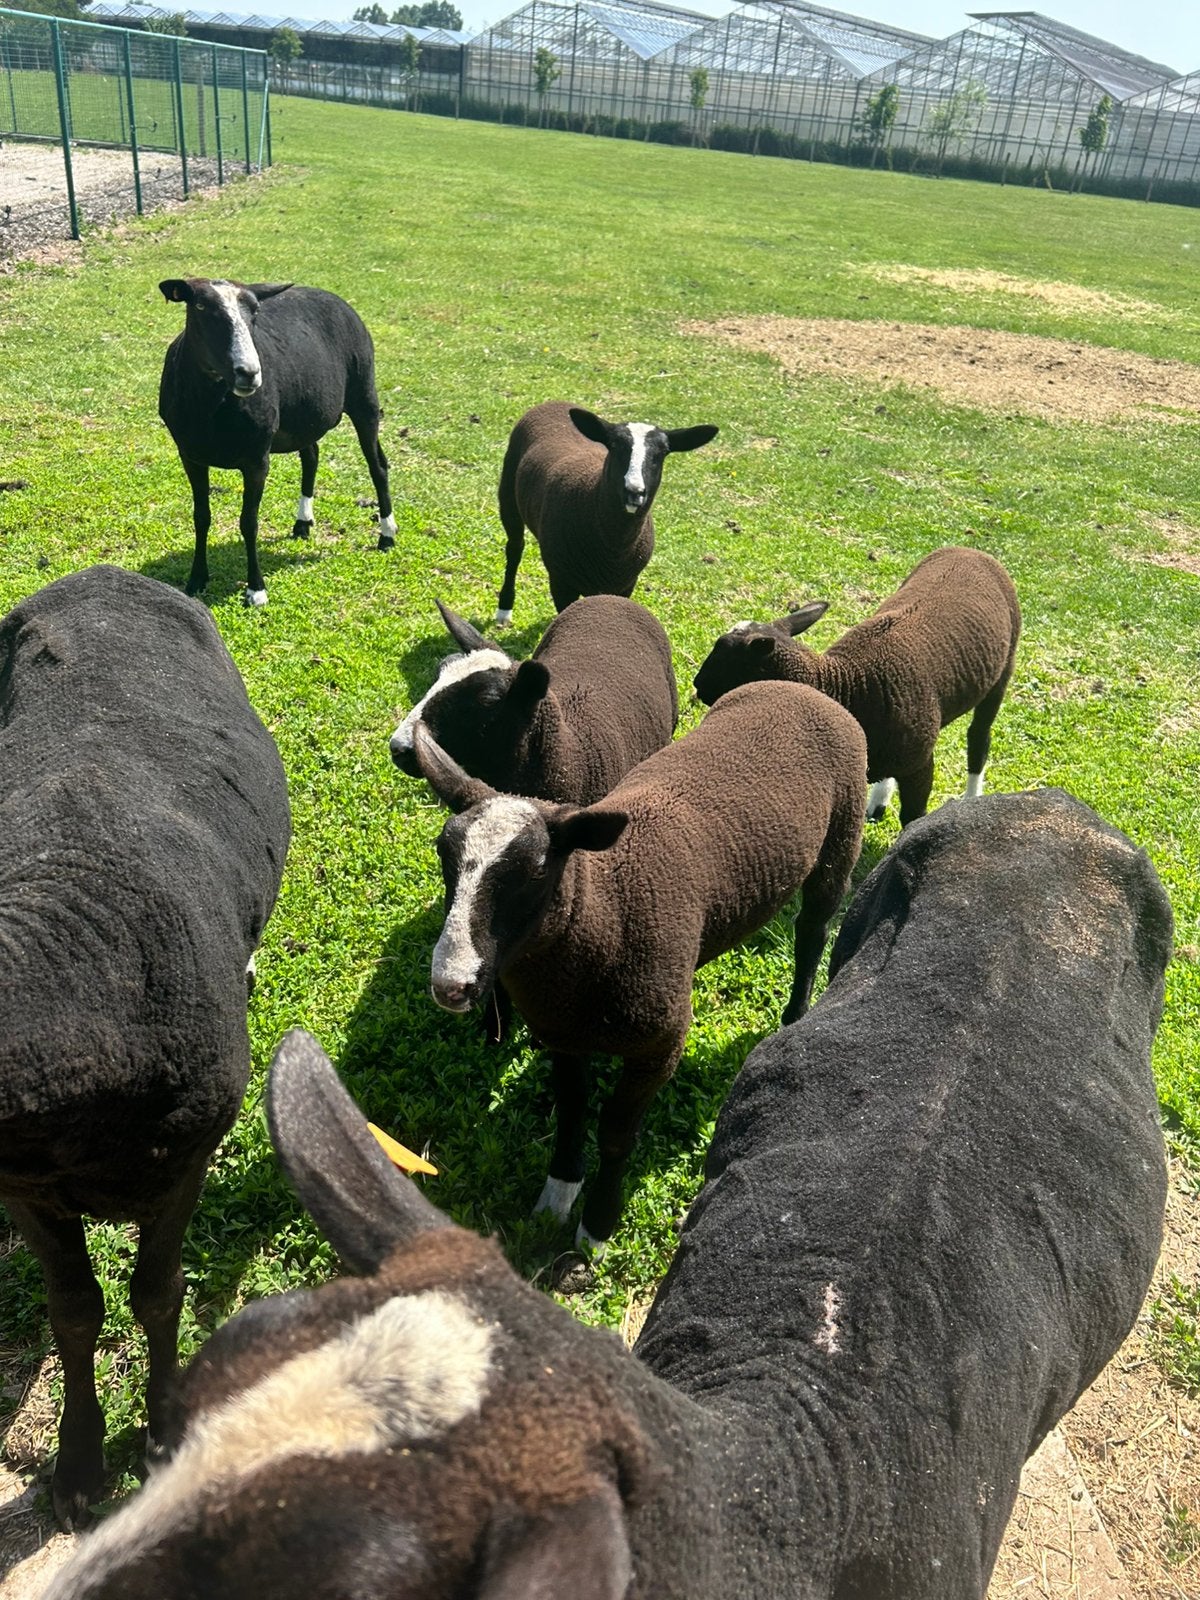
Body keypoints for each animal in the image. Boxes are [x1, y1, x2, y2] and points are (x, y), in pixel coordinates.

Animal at [0, 564, 290, 1530]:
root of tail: (107, 572)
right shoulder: (28, 1187)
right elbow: (75, 1309)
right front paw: (80, 1463)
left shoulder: (184, 1163)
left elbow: (158, 1293)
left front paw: (164, 1433)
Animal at [158, 276, 396, 607]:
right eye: (201, 306)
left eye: (255, 311)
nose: (249, 373)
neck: (211, 405)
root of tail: (333, 296)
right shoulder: (190, 455)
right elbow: (201, 517)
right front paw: (196, 580)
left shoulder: (257, 459)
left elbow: (249, 522)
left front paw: (256, 590)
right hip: (304, 415)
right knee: (312, 455)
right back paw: (302, 524)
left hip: (364, 396)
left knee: (378, 466)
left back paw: (386, 535)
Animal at [411, 677, 866, 1246]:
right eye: (443, 853)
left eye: (536, 871)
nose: (450, 984)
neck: (607, 909)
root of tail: (802, 688)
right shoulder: (562, 1035)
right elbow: (572, 1113)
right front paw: (558, 1195)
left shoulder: (660, 1045)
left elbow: (615, 1135)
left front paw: (596, 1226)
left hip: (841, 835)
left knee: (812, 933)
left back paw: (794, 1016)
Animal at [494, 400, 719, 624]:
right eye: (615, 446)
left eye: (662, 453)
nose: (634, 491)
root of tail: (555, 402)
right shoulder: (561, 582)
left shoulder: (625, 584)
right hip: (508, 494)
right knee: (515, 548)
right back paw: (504, 608)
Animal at [693, 545, 1021, 827]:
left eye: (726, 660)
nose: (697, 686)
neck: (848, 684)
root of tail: (970, 551)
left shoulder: (920, 764)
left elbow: (912, 817)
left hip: (1003, 671)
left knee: (978, 738)